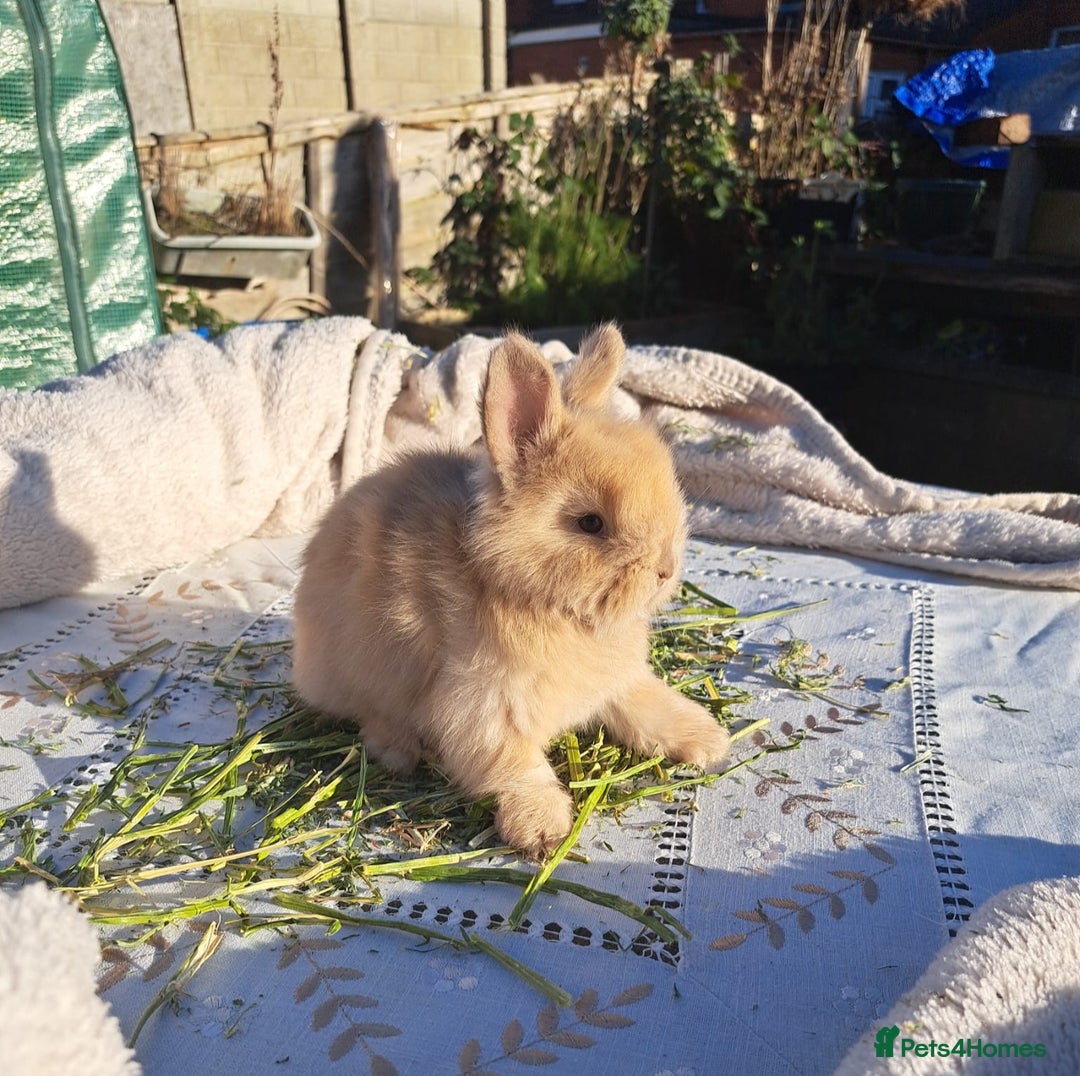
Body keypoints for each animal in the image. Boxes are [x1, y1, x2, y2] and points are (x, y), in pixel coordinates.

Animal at [291, 324, 730, 859]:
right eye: (590, 523)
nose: (665, 569)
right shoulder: (482, 710)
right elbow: (516, 767)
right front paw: (543, 831)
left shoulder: (617, 683)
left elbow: (648, 706)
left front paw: (711, 741)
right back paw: (401, 751)